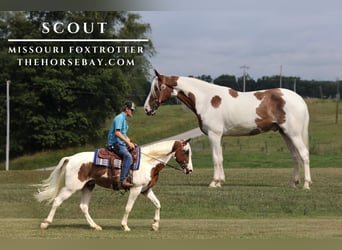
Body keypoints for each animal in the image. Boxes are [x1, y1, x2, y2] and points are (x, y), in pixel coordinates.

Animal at [36, 139, 194, 230]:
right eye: (186, 151)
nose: (190, 170)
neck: (148, 162)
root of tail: (70, 158)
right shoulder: (135, 189)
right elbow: (128, 208)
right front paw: (125, 226)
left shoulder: (146, 190)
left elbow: (157, 204)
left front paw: (155, 225)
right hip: (71, 188)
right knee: (57, 201)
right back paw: (45, 223)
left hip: (88, 186)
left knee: (83, 207)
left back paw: (95, 226)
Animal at [144, 70, 312, 189]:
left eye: (157, 88)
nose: (147, 109)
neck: (206, 99)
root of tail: (299, 99)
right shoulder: (219, 136)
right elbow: (221, 158)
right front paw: (220, 181)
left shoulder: (213, 135)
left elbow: (215, 158)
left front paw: (214, 182)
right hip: (285, 134)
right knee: (295, 156)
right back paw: (294, 183)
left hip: (293, 134)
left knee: (303, 154)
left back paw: (306, 184)